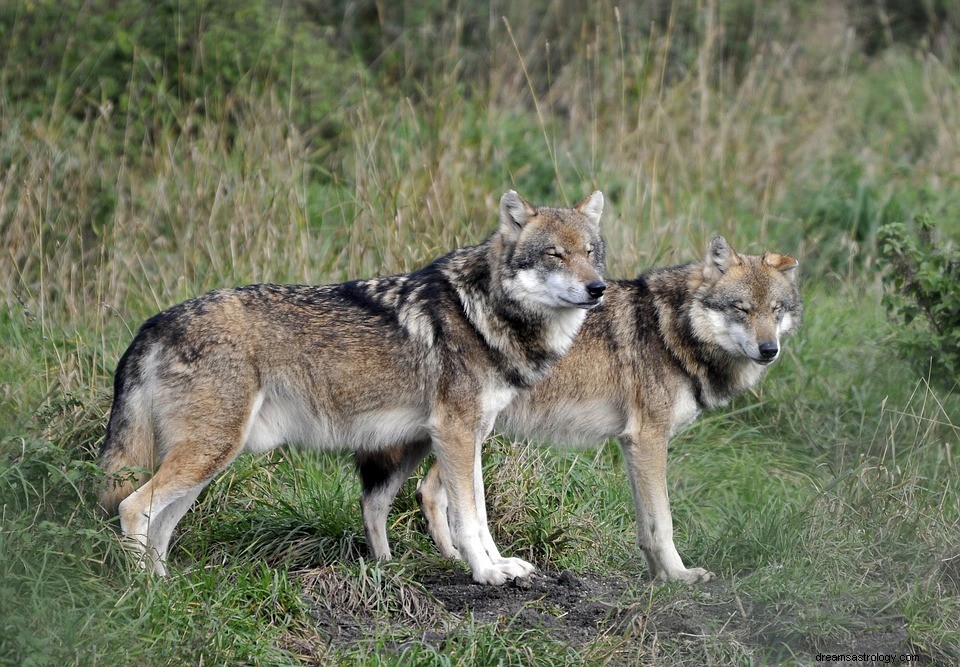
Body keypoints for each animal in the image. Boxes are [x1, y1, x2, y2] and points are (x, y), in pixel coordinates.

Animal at [99, 189, 608, 584]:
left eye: (589, 253)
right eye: (555, 255)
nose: (598, 288)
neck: (481, 313)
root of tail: (154, 322)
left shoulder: (472, 435)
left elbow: (478, 514)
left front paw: (500, 565)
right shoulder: (456, 434)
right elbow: (468, 518)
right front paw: (485, 573)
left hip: (209, 461)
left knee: (160, 525)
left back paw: (166, 585)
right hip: (209, 453)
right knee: (132, 508)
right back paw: (145, 591)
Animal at [356, 236, 800, 584]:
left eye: (776, 310)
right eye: (741, 309)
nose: (769, 350)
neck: (669, 330)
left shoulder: (632, 445)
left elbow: (646, 525)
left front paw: (658, 577)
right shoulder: (649, 439)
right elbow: (663, 523)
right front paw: (679, 576)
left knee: (423, 492)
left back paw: (444, 561)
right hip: (463, 432)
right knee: (423, 493)